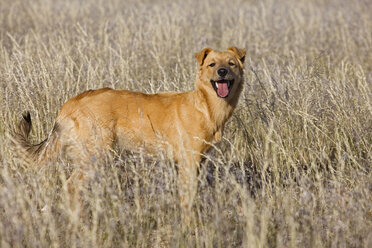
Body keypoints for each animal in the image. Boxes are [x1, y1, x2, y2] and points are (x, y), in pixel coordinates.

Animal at [12, 46, 244, 213]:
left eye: (231, 64)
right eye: (212, 64)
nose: (222, 72)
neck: (206, 106)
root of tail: (72, 102)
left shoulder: (199, 163)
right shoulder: (188, 163)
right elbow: (186, 201)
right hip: (93, 158)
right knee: (71, 187)